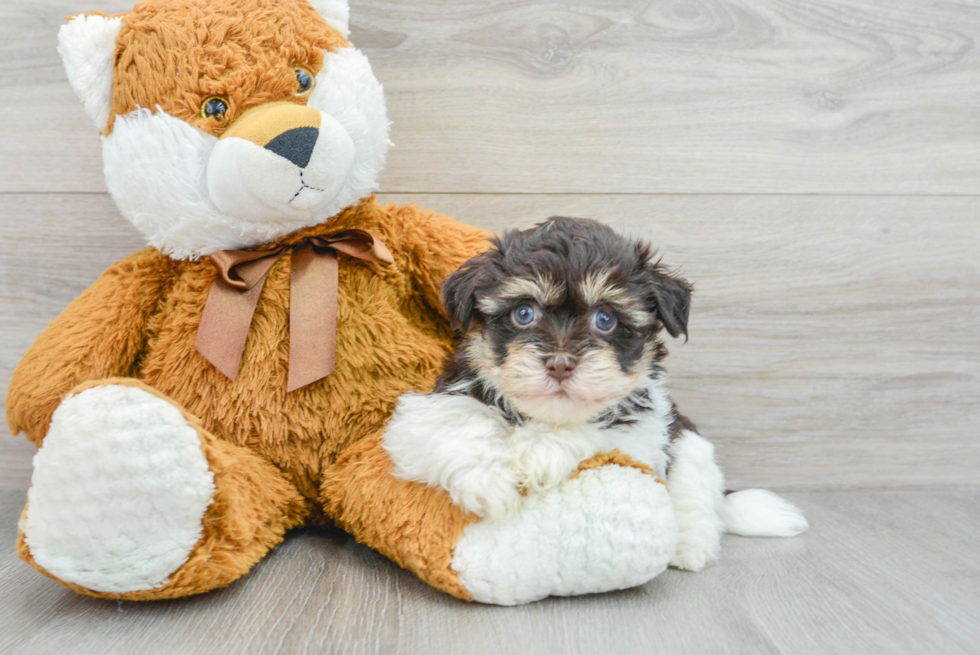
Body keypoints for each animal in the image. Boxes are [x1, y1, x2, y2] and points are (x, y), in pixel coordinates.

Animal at [382, 218, 804, 572]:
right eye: (524, 313)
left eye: (605, 319)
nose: (560, 364)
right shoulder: (426, 409)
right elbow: (452, 423)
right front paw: (490, 484)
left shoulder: (643, 430)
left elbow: (596, 429)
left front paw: (541, 450)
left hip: (691, 445)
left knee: (697, 496)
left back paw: (689, 546)